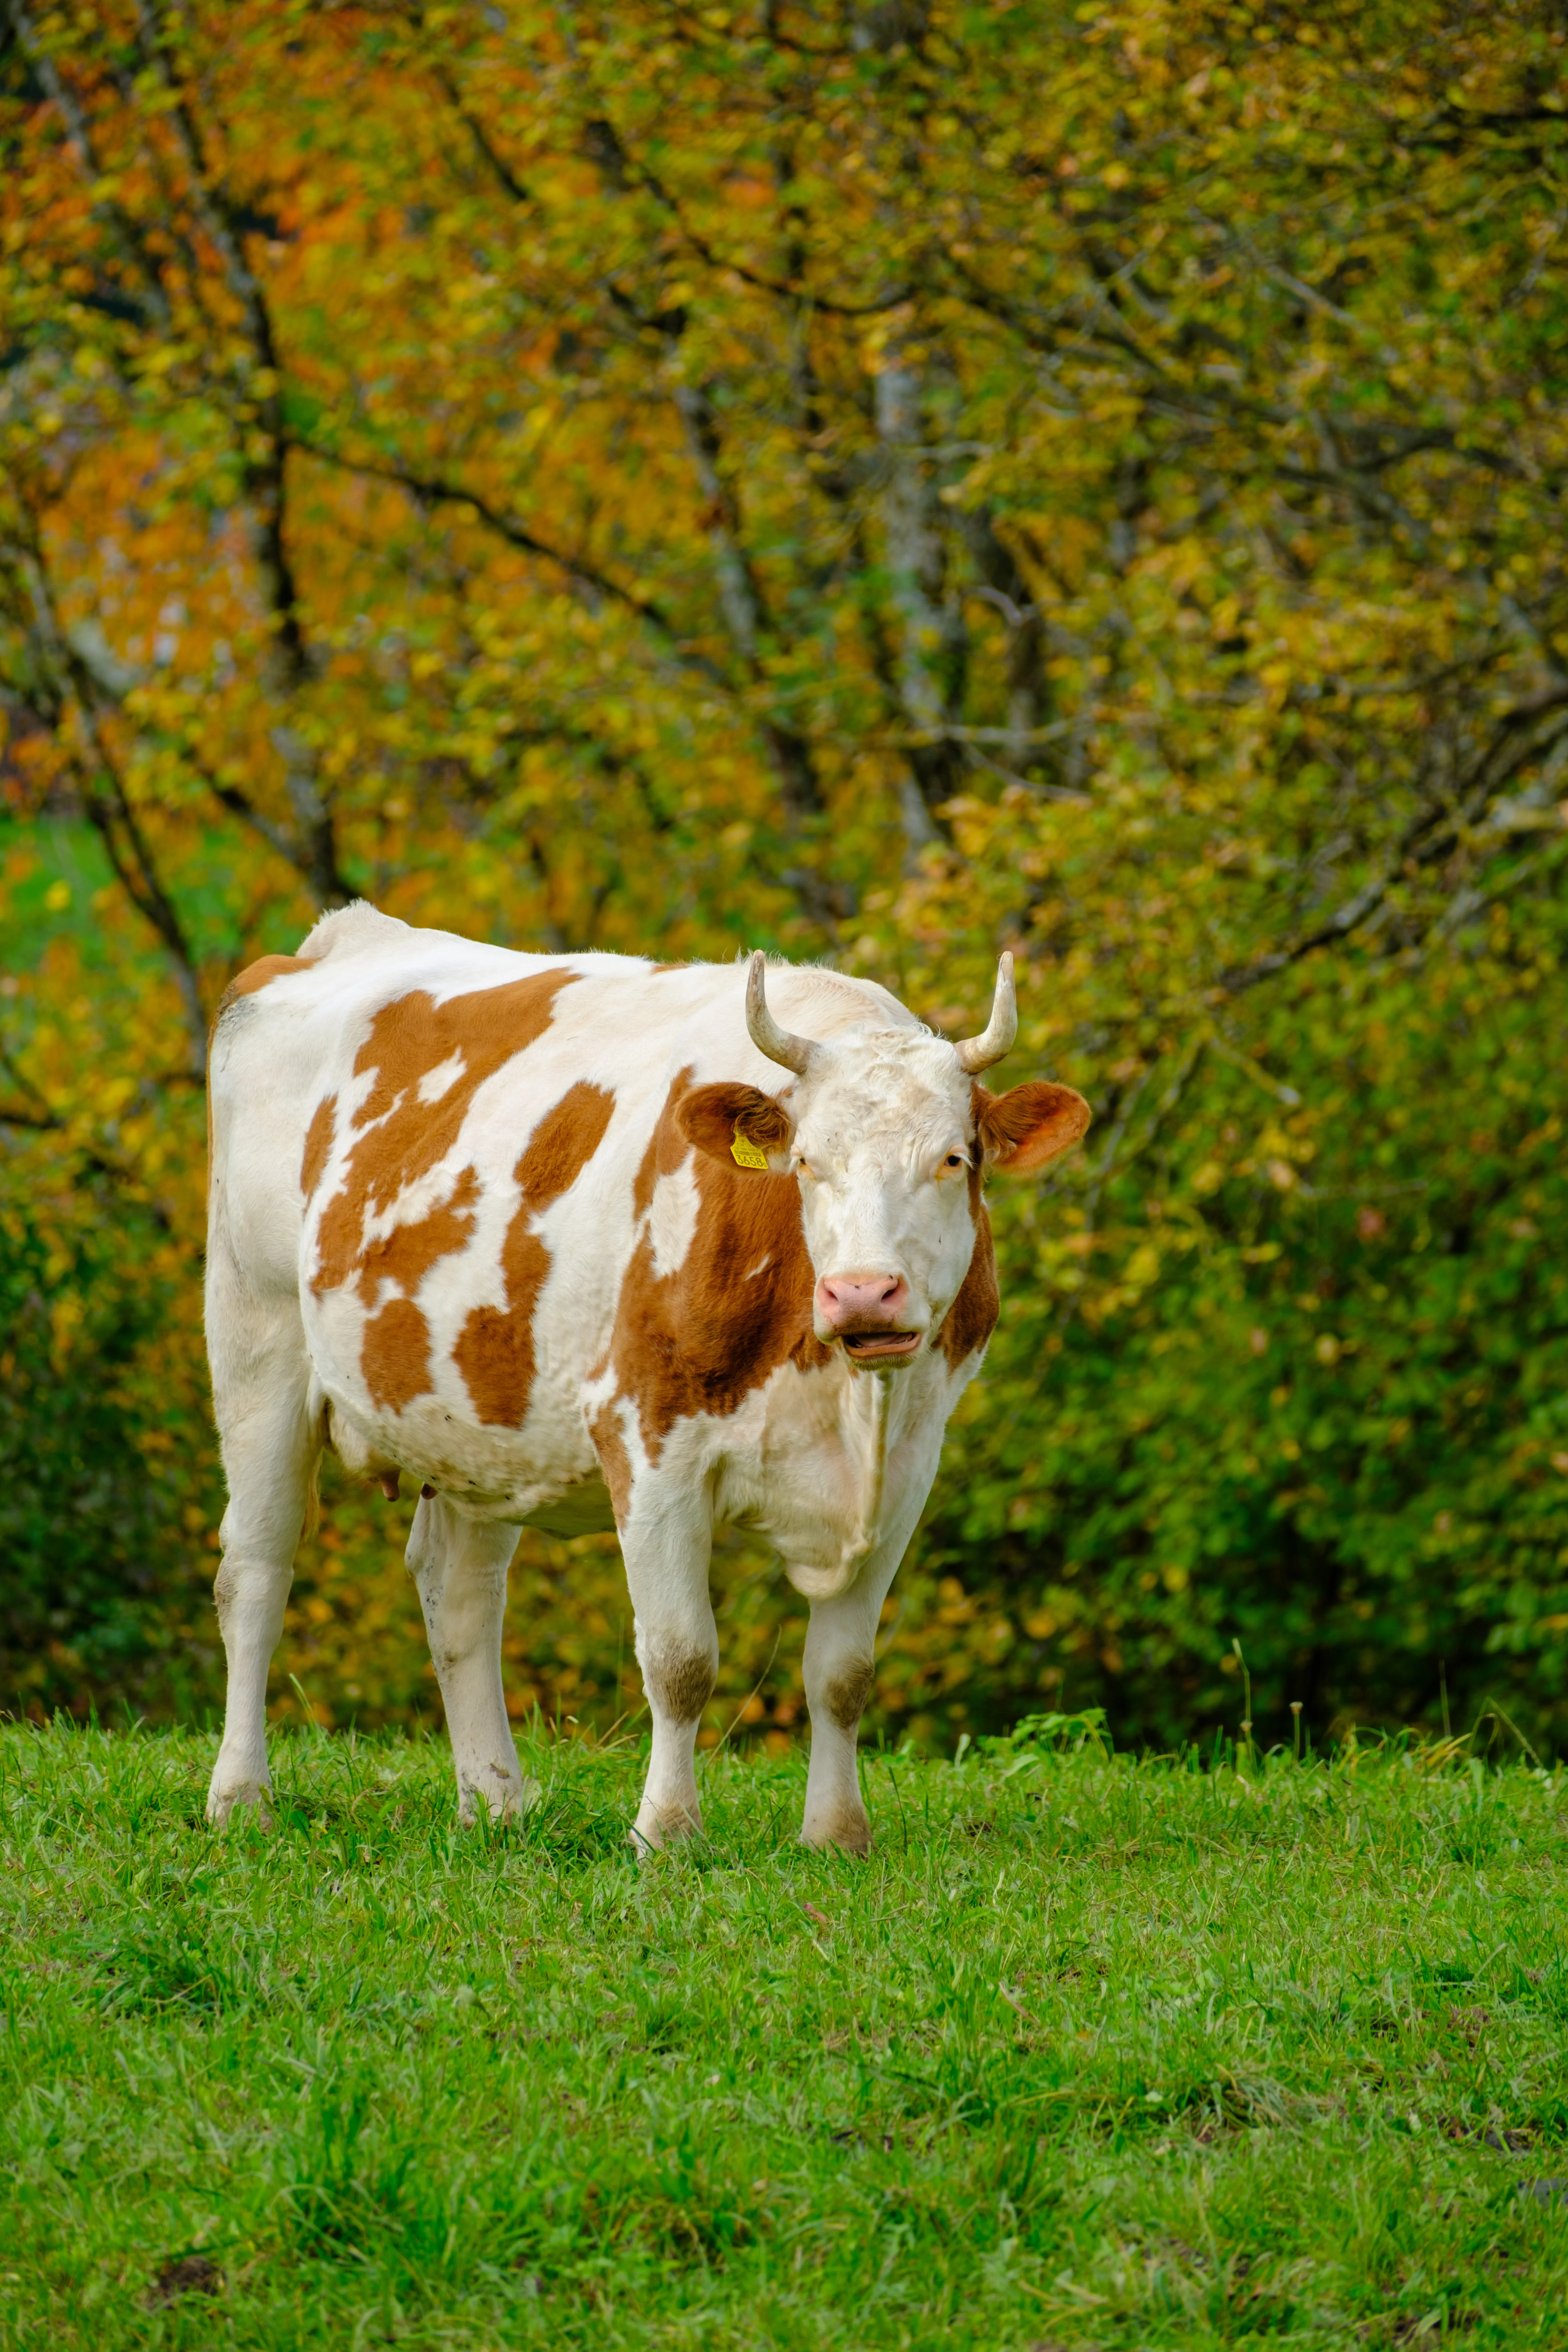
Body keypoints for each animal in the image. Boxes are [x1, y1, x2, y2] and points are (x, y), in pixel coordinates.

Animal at [204, 904, 1090, 1851]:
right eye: (807, 1162)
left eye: (955, 1159)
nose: (862, 1293)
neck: (849, 1406)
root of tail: (335, 936)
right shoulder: (652, 1441)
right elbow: (680, 1660)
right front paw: (667, 1832)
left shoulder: (911, 1466)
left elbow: (843, 1673)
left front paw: (836, 1835)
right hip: (256, 1342)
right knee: (256, 1572)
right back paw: (241, 1797)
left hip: (481, 1420)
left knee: (460, 1594)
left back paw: (496, 1803)